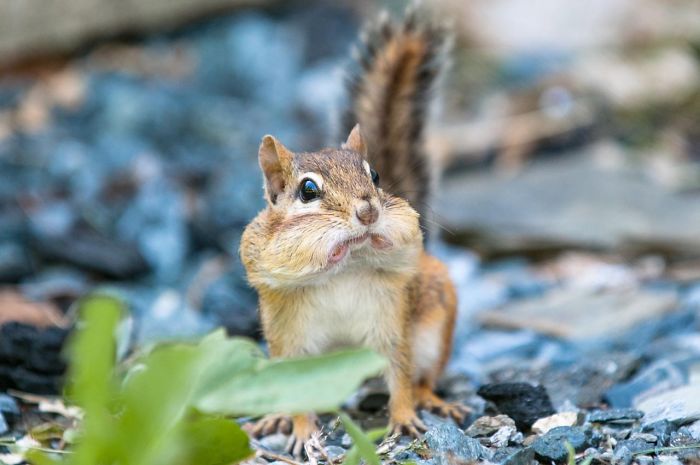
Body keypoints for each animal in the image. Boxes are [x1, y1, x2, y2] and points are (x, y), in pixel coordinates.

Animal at [240, 7, 466, 456]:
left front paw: (403, 419)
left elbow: (400, 381)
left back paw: (430, 400)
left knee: (415, 375)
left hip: (419, 332)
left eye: (375, 175)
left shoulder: (393, 325)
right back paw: (277, 416)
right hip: (285, 347)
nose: (367, 211)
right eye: (308, 191)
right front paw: (303, 435)